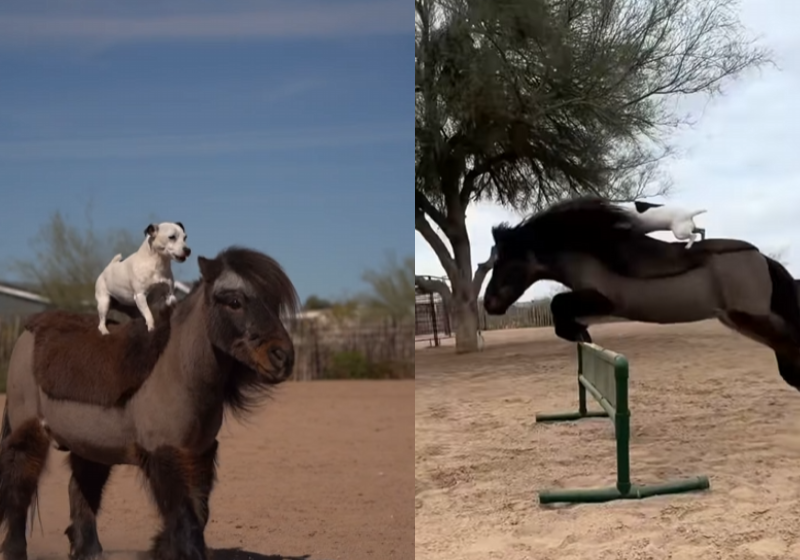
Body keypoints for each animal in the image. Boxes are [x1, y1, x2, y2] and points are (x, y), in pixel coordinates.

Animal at [0, 247, 300, 560]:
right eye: (234, 301)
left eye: (273, 302)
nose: (283, 357)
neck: (175, 371)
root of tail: (28, 332)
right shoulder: (164, 455)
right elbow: (185, 518)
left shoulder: (199, 454)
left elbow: (198, 513)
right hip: (29, 434)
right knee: (19, 490)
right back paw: (14, 550)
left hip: (90, 447)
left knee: (81, 490)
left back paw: (88, 550)